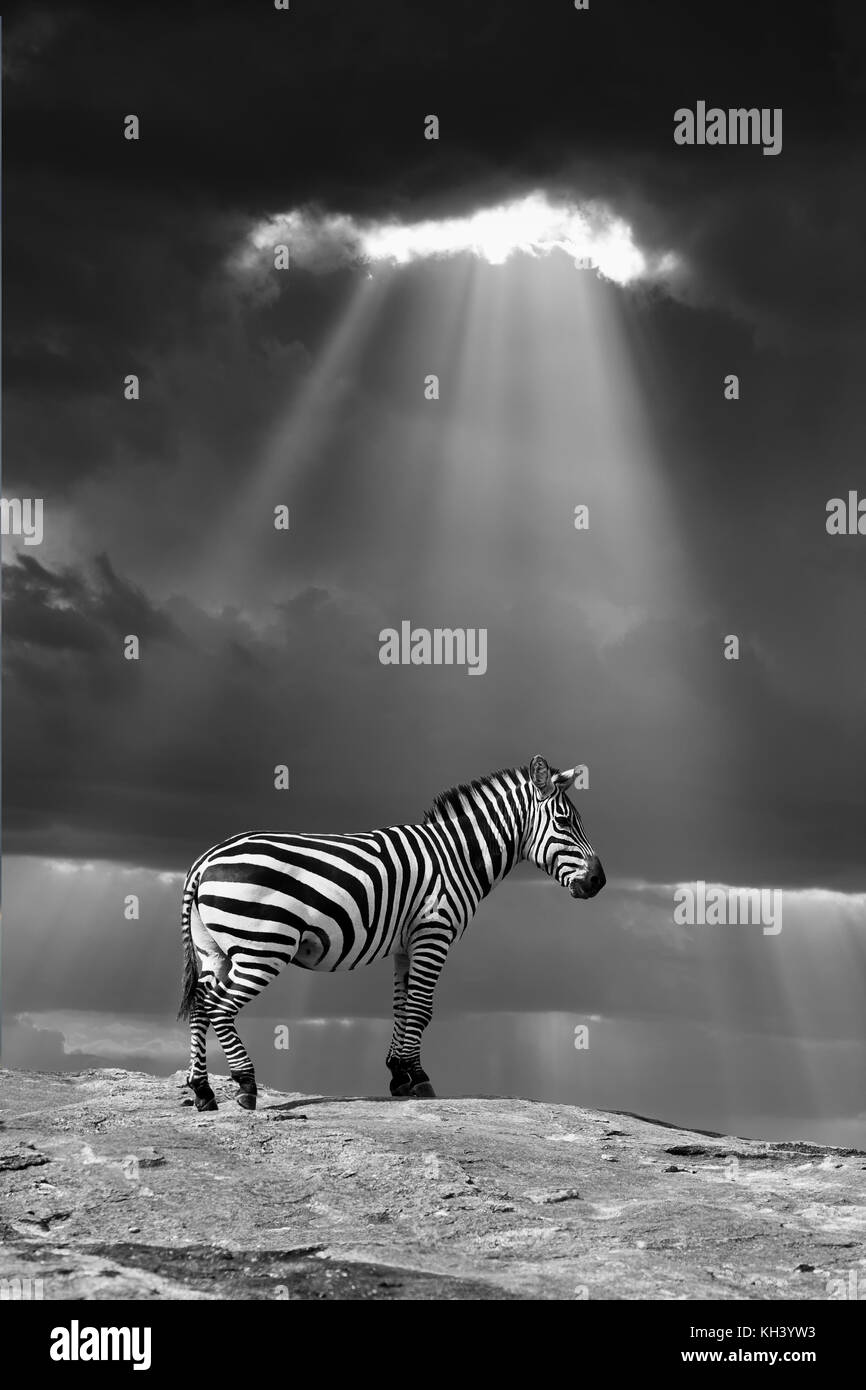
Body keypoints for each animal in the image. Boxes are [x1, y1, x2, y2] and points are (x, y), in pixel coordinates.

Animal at [178, 754, 605, 1111]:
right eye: (564, 822)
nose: (598, 881)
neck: (457, 857)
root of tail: (204, 860)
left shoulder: (406, 943)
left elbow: (403, 1007)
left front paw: (399, 1075)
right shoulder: (434, 932)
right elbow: (421, 1009)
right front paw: (418, 1079)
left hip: (214, 950)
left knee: (200, 1003)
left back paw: (203, 1092)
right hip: (264, 947)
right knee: (219, 1007)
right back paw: (246, 1086)